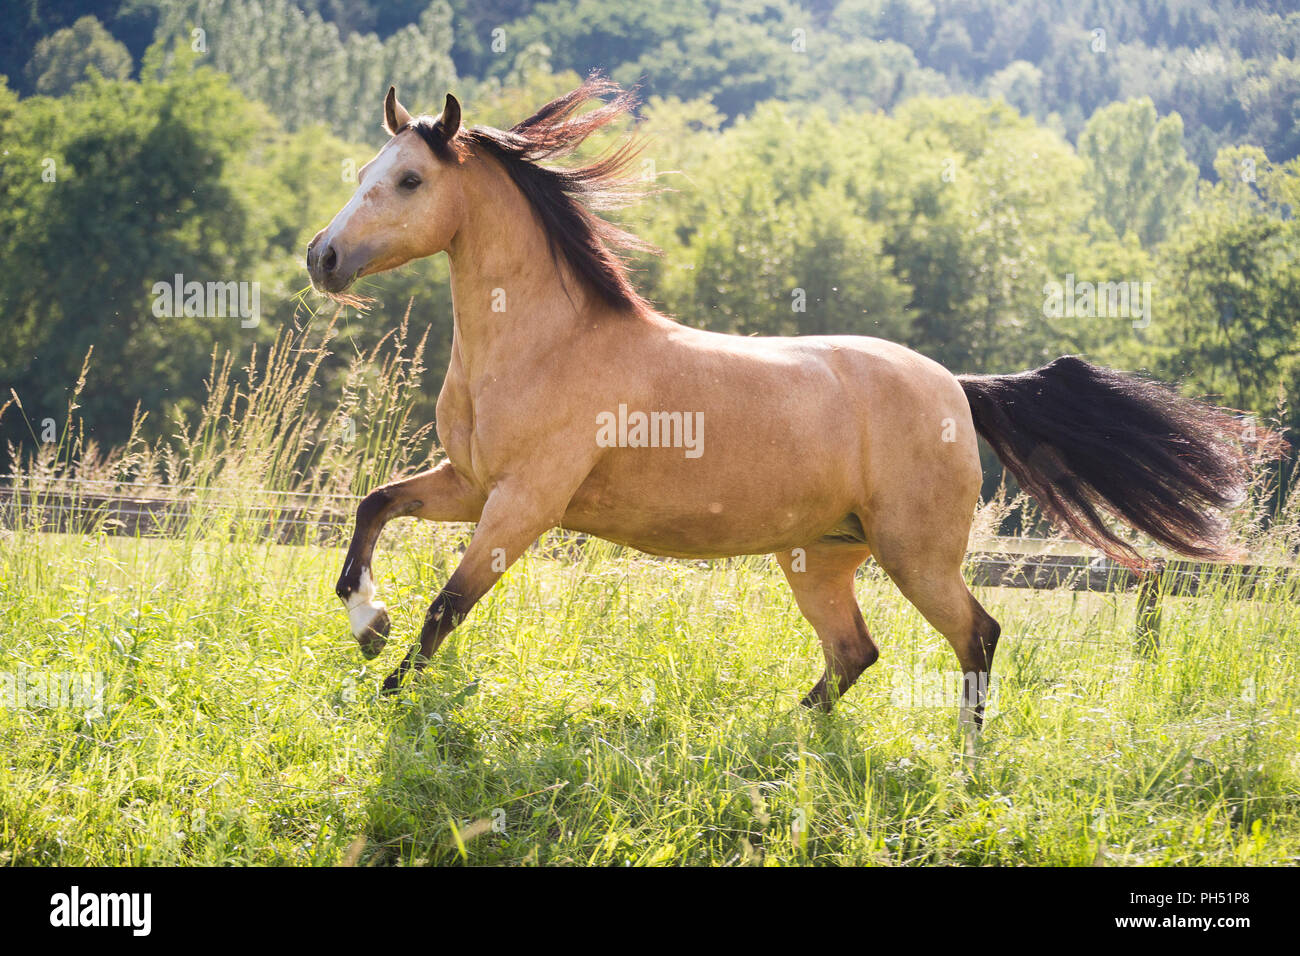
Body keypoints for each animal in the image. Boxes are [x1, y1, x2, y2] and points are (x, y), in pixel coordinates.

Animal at [307, 77, 1254, 742]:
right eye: (362, 173)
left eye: (408, 179)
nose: (322, 257)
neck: (546, 342)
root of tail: (957, 387)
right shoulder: (468, 482)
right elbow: (373, 507)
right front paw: (367, 626)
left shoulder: (524, 501)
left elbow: (447, 605)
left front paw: (387, 693)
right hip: (821, 556)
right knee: (855, 651)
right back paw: (776, 737)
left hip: (918, 555)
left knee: (977, 635)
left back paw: (965, 755)